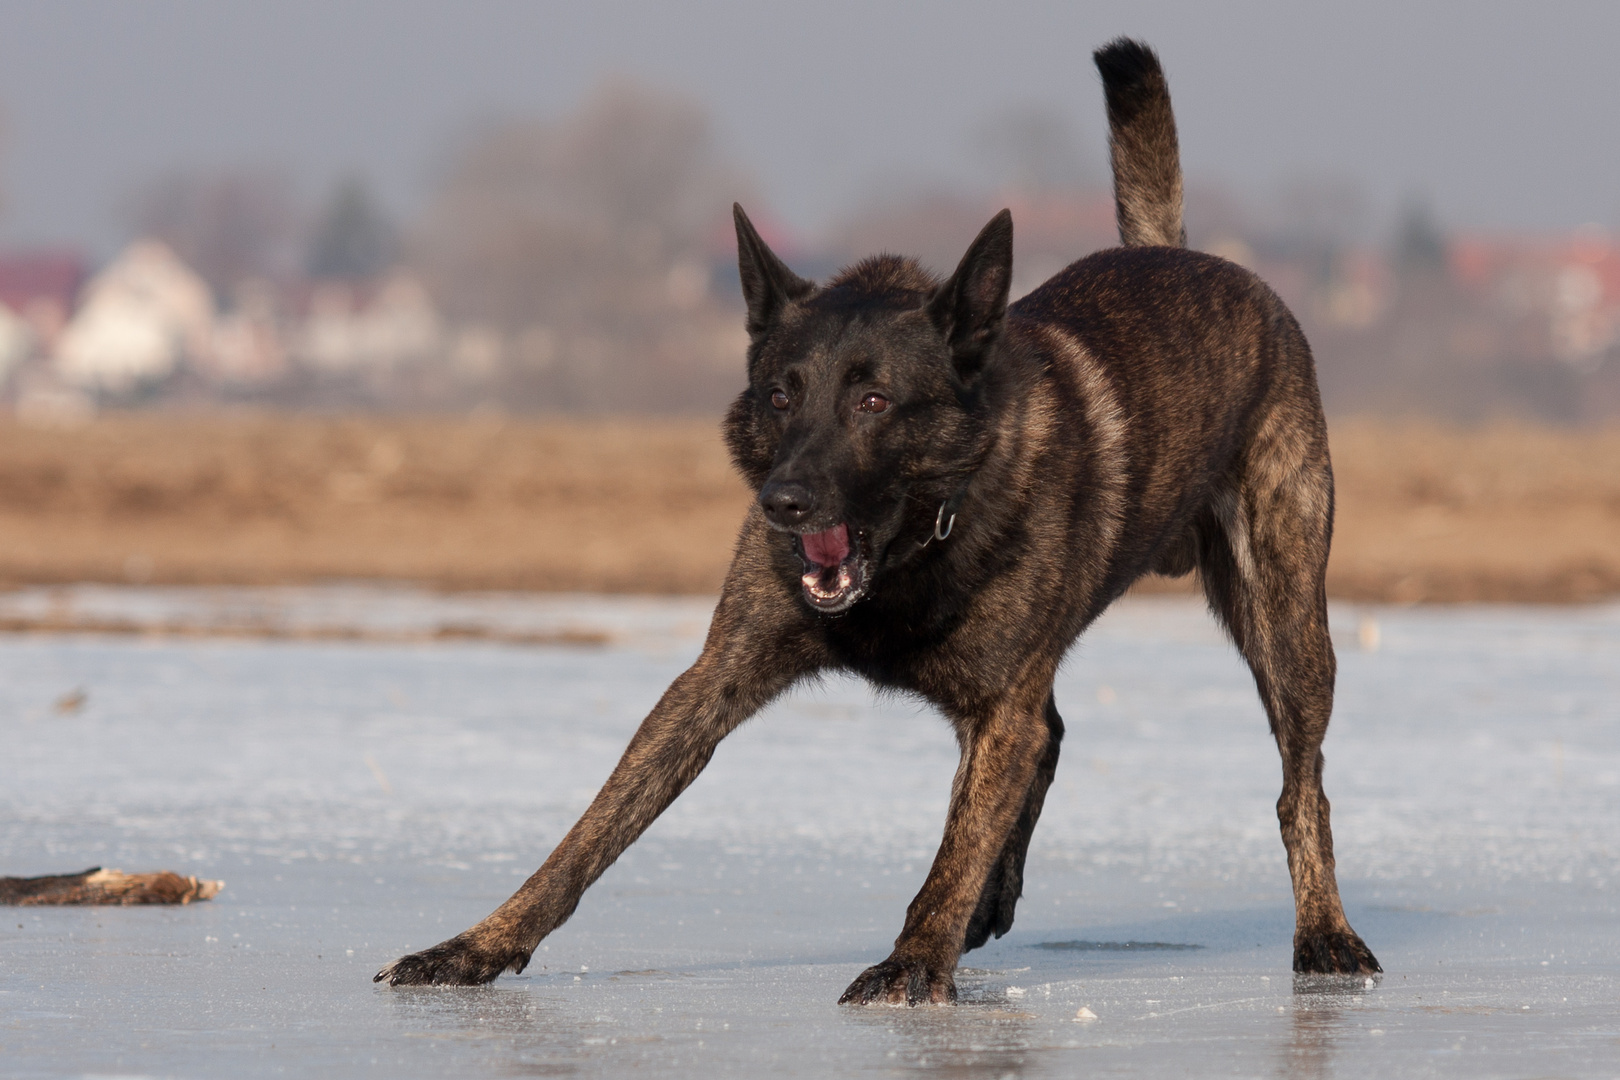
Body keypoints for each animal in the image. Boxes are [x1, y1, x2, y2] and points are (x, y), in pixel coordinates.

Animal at [379, 42, 1380, 1003]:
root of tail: (1194, 257)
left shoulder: (999, 705)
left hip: (1286, 625)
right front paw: (477, 945)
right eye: (781, 395)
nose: (784, 501)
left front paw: (911, 963)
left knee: (1301, 786)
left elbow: (956, 847)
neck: (914, 550)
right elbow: (591, 831)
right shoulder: (712, 681)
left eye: (873, 400)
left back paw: (1325, 934)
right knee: (1054, 739)